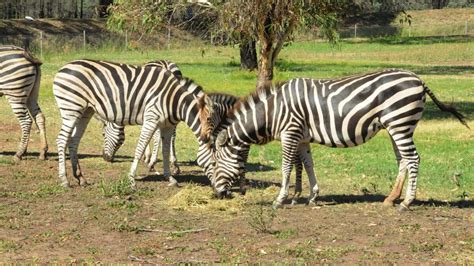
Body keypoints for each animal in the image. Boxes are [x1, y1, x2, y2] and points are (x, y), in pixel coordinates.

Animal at [51, 58, 228, 187]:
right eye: (214, 163)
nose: (222, 192)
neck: (174, 100)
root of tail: (63, 67)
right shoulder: (151, 118)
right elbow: (140, 147)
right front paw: (131, 178)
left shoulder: (167, 125)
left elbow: (165, 150)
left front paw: (169, 178)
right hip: (71, 108)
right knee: (61, 140)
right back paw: (64, 180)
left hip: (85, 111)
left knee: (73, 141)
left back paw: (80, 177)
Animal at [212, 69, 470, 211]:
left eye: (215, 163)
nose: (216, 194)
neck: (273, 112)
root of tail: (418, 79)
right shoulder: (302, 137)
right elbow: (307, 165)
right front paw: (310, 196)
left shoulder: (290, 132)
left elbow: (286, 167)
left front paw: (280, 199)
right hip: (398, 126)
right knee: (403, 160)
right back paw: (391, 199)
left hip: (400, 123)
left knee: (413, 159)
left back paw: (407, 202)